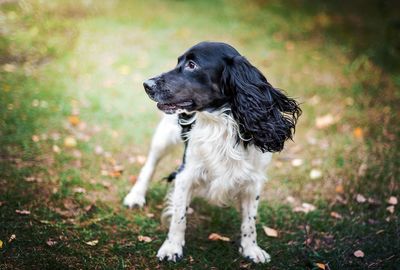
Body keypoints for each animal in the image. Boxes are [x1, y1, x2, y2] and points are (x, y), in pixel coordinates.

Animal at [122, 41, 300, 264]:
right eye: (178, 62)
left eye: (192, 65)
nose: (147, 84)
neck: (220, 124)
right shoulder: (186, 174)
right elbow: (178, 217)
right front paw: (172, 247)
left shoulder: (254, 180)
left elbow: (250, 221)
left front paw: (251, 249)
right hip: (164, 136)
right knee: (150, 164)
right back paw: (136, 196)